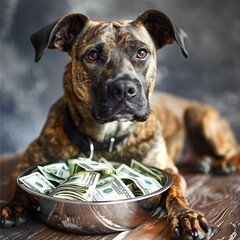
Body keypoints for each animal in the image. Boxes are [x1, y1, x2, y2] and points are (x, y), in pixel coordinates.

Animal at [0, 9, 239, 240]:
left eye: (141, 53)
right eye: (92, 55)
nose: (124, 89)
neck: (108, 137)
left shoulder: (170, 171)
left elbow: (175, 194)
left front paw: (186, 216)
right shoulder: (24, 165)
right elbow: (19, 186)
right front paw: (13, 205)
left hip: (202, 118)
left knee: (233, 152)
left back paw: (222, 163)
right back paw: (204, 162)